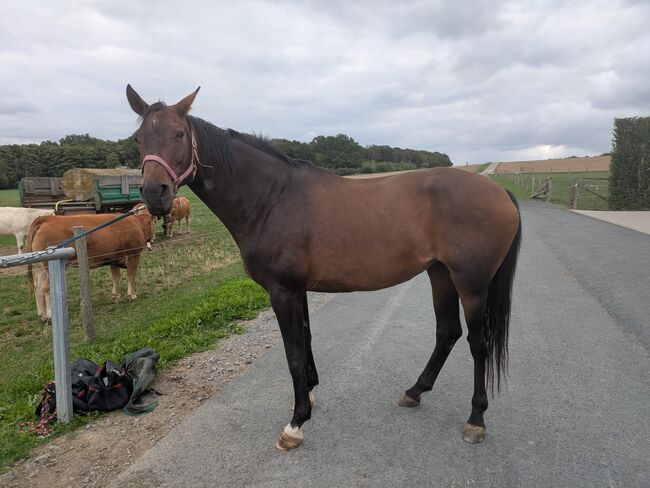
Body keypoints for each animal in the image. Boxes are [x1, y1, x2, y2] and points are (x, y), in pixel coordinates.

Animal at [126, 85, 522, 450]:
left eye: (179, 134)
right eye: (139, 138)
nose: (155, 194)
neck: (272, 198)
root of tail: (499, 192)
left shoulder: (282, 291)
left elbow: (293, 354)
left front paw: (296, 424)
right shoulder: (297, 289)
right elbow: (307, 342)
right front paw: (309, 396)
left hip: (471, 283)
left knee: (478, 343)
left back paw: (475, 419)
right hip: (440, 273)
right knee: (447, 332)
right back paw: (415, 391)